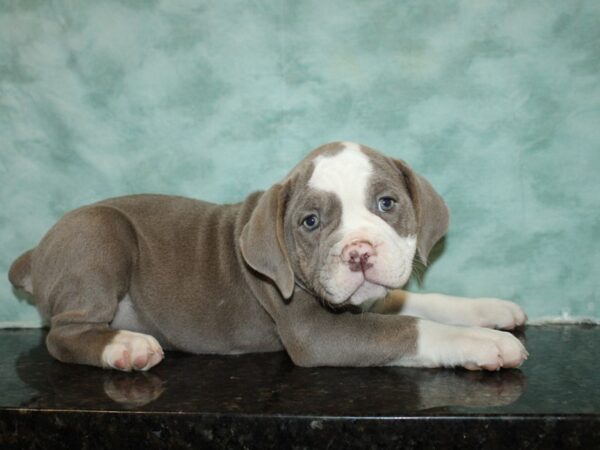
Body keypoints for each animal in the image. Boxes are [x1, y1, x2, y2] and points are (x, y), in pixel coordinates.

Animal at [7, 142, 528, 370]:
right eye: (310, 222)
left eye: (387, 203)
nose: (360, 253)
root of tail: (35, 253)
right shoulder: (317, 334)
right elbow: (410, 328)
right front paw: (486, 345)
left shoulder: (375, 298)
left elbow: (425, 303)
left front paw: (492, 311)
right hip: (99, 233)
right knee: (63, 335)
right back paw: (125, 346)